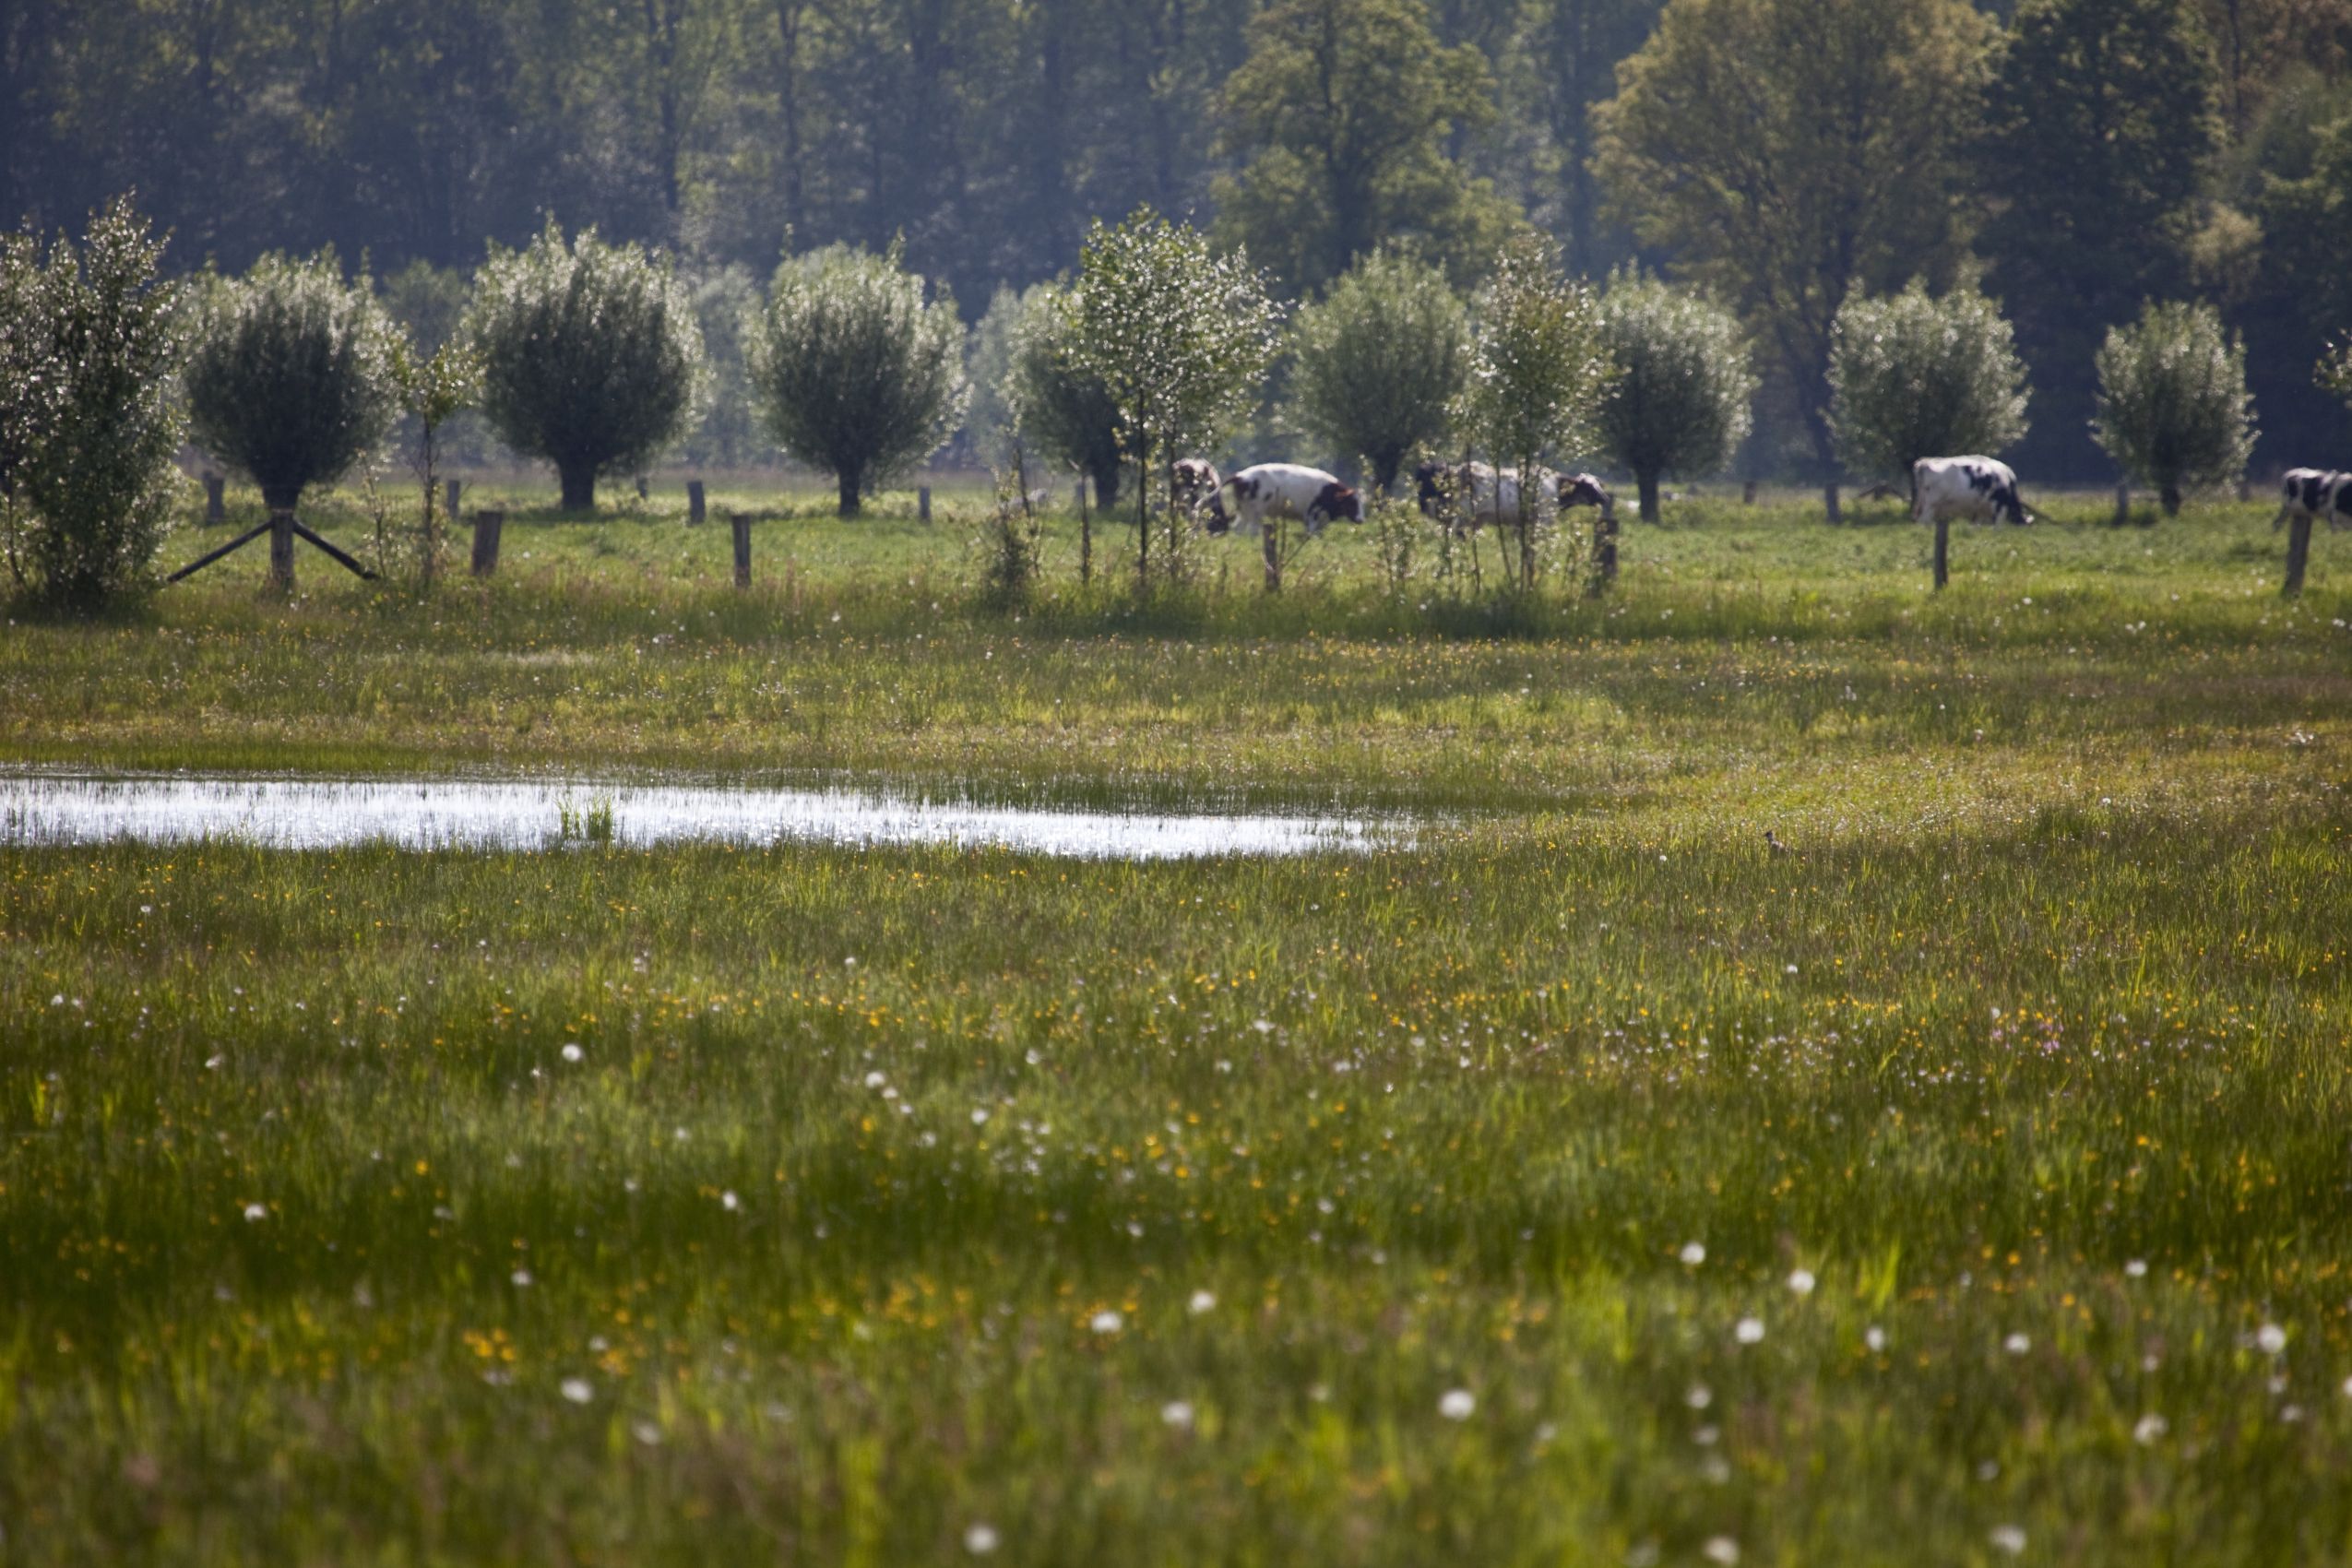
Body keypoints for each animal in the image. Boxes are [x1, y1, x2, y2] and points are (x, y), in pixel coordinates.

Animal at [1204, 463, 1363, 538]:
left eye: (1362, 504)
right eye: (1352, 503)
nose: (1361, 519)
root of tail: (1241, 475)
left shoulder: (1321, 521)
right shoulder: (1313, 515)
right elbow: (1311, 534)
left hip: (1244, 511)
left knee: (1238, 529)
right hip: (1255, 512)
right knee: (1252, 530)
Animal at [1912, 456, 2030, 529]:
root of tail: (1925, 462)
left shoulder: (1980, 509)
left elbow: (1976, 525)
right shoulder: (1999, 507)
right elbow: (1997, 527)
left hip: (1925, 502)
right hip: (1931, 504)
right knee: (1924, 520)